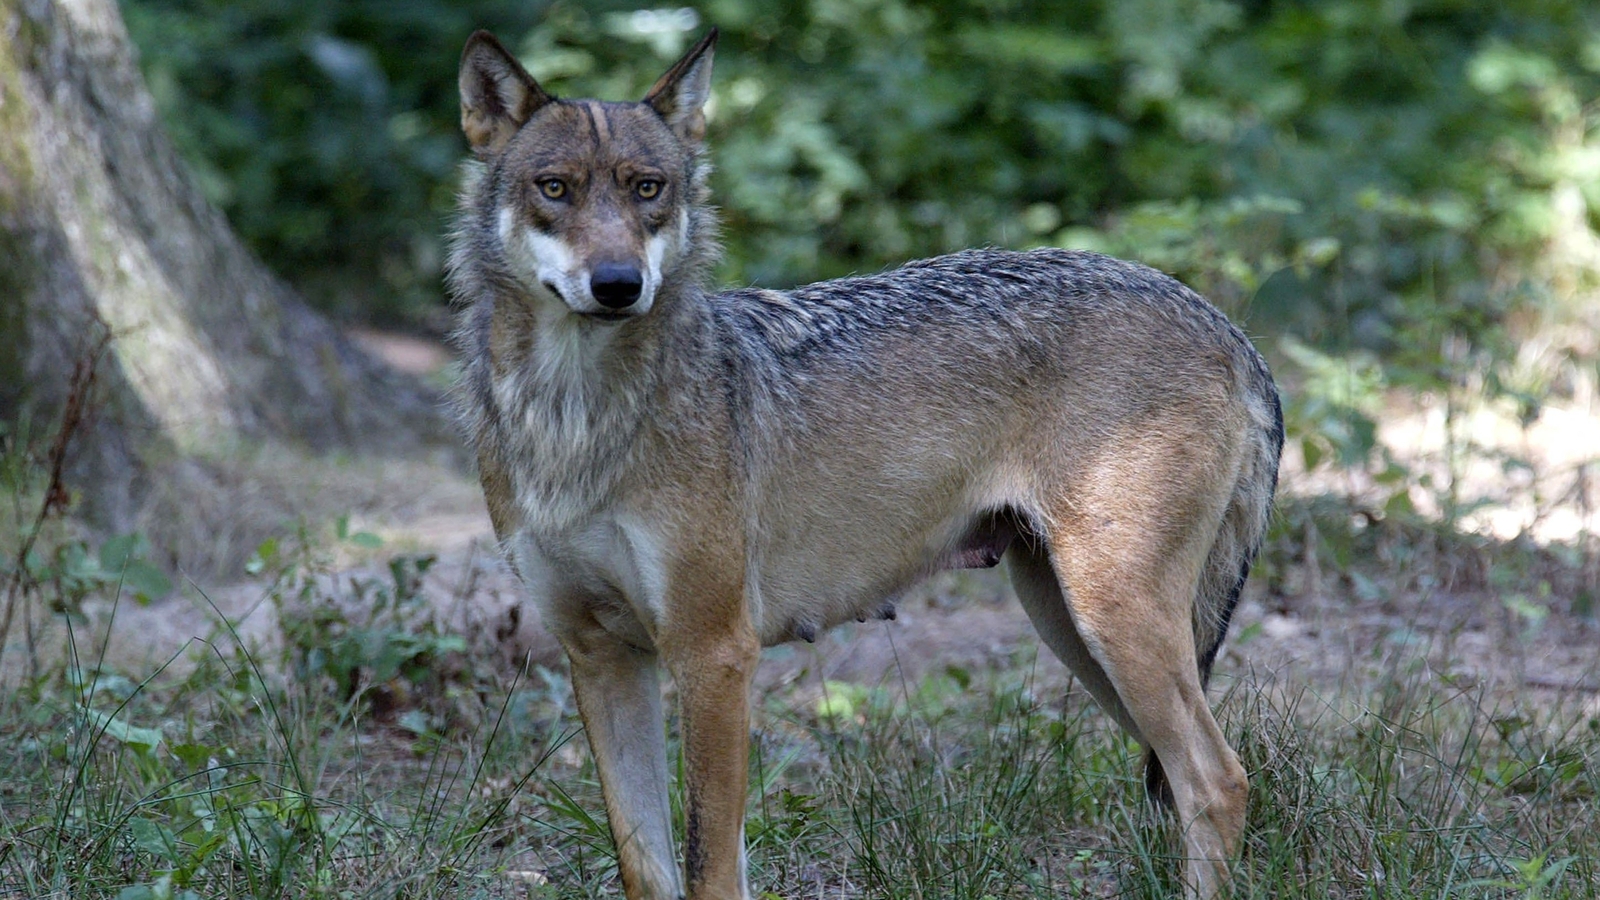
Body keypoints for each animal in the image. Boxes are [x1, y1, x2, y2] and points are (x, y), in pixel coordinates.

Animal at [450, 27, 1282, 900]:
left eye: (649, 189)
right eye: (555, 188)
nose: (618, 285)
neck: (573, 416)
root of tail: (1226, 326)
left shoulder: (714, 656)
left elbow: (711, 866)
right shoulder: (602, 656)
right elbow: (647, 866)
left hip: (1113, 624)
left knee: (1219, 780)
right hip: (1077, 632)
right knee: (1191, 780)